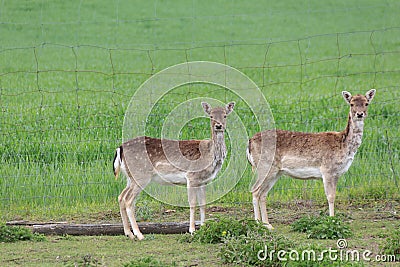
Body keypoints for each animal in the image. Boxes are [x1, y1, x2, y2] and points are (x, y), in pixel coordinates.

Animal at [112, 101, 234, 242]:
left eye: (225, 115)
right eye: (211, 116)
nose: (218, 126)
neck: (210, 155)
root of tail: (119, 149)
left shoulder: (203, 181)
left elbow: (203, 203)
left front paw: (203, 228)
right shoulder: (192, 176)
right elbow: (192, 203)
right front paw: (192, 230)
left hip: (130, 177)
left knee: (121, 196)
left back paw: (129, 233)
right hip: (140, 175)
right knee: (128, 200)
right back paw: (139, 234)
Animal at [247, 90, 376, 230]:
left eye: (366, 103)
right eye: (352, 103)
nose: (360, 114)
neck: (344, 146)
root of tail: (249, 142)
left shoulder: (337, 174)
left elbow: (334, 195)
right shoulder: (327, 170)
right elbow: (330, 196)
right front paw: (332, 221)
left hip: (276, 172)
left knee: (263, 194)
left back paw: (267, 224)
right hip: (264, 167)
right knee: (255, 191)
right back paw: (258, 223)